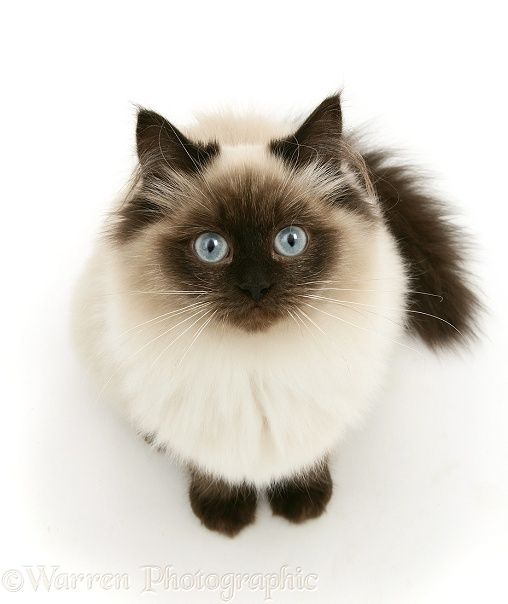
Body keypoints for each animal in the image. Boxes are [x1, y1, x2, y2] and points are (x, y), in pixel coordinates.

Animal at [73, 92, 478, 536]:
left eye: (290, 241)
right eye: (211, 247)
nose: (256, 288)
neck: (258, 369)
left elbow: (307, 457)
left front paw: (303, 505)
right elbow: (213, 467)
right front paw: (224, 516)